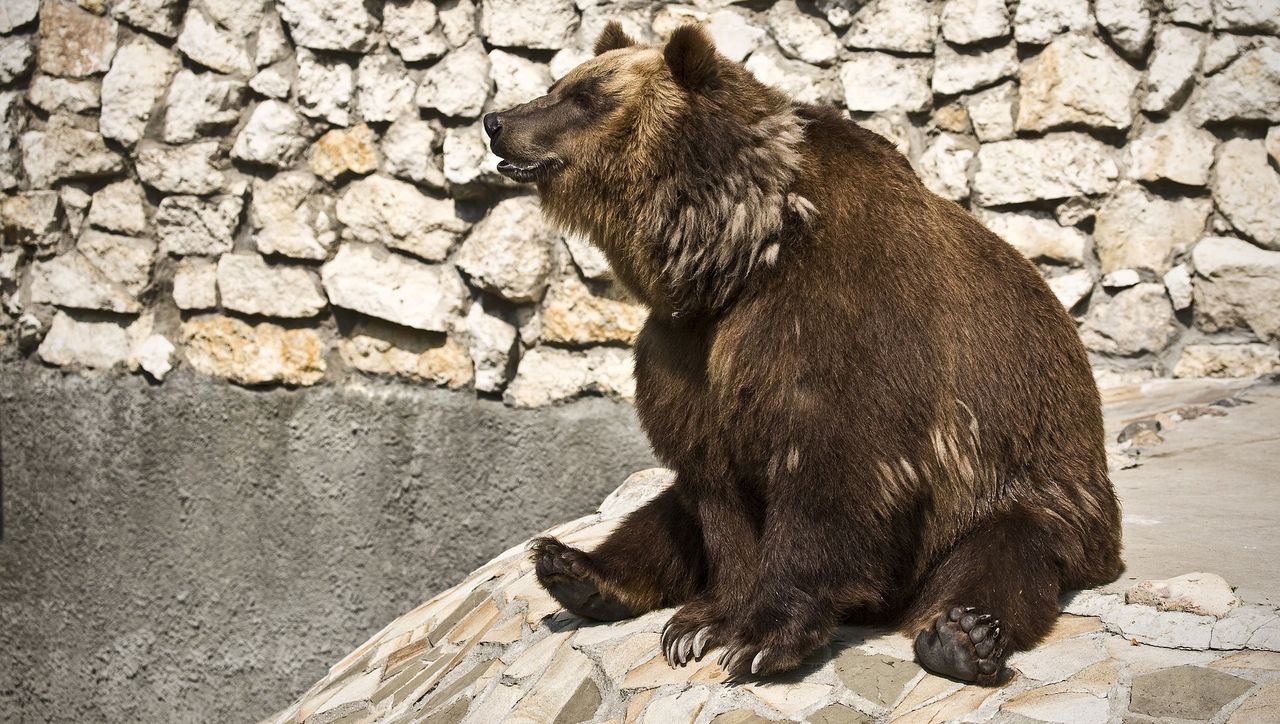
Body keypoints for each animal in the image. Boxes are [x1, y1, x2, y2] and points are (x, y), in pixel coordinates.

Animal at [481, 22, 1121, 685]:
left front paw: (760, 638)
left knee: (1005, 554)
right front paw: (704, 621)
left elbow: (832, 472)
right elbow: (714, 490)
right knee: (664, 511)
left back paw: (962, 635)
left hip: (1027, 485)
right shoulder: (687, 351)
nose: (496, 120)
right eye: (561, 84)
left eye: (585, 96)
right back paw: (574, 570)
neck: (741, 253)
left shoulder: (837, 321)